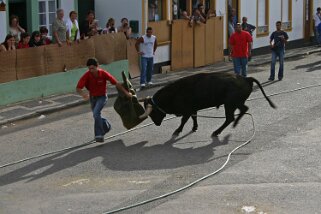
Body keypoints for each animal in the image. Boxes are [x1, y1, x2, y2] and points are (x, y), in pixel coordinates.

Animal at [138, 72, 276, 135]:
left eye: (153, 112)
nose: (156, 124)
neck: (175, 92)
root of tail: (246, 78)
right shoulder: (193, 109)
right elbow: (194, 118)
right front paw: (195, 128)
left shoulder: (187, 111)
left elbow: (184, 120)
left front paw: (177, 131)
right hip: (234, 103)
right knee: (243, 109)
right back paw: (233, 124)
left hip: (230, 104)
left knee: (230, 117)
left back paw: (217, 131)